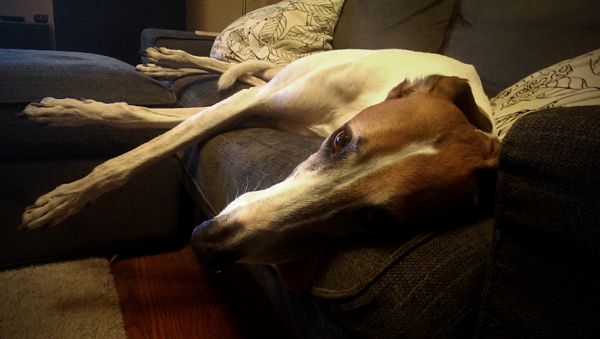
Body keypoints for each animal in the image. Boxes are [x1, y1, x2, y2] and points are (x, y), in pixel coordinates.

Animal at [18, 47, 500, 274]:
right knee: (241, 66)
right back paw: (169, 59)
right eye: (342, 140)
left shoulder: (253, 109)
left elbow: (149, 119)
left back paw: (166, 68)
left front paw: (73, 113)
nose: (208, 246)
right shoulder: (255, 102)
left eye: (376, 221)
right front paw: (66, 196)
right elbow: (142, 149)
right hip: (280, 81)